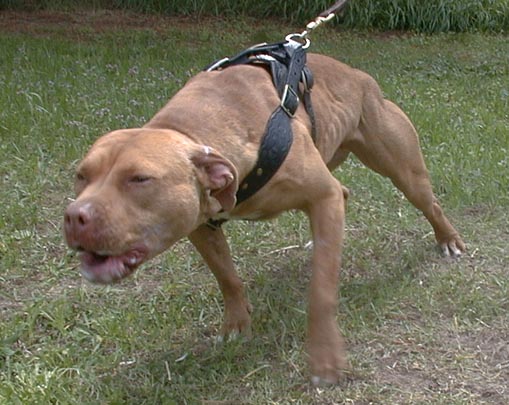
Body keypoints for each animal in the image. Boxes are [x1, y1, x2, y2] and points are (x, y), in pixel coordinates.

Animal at [63, 52, 464, 384]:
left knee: (428, 203)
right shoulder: (201, 225)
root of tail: (358, 75)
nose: (74, 215)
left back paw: (448, 240)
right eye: (81, 175)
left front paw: (324, 357)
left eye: (140, 179)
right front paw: (236, 323)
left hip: (402, 169)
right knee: (344, 195)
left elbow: (321, 290)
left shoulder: (321, 195)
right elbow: (226, 277)